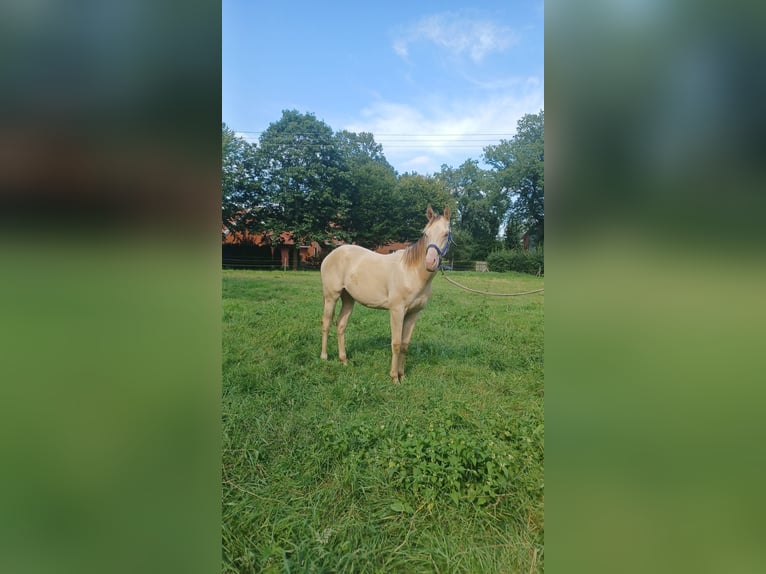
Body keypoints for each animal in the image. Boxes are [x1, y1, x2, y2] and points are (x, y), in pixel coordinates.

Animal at [320, 205, 452, 384]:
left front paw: (402, 375)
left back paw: (344, 360)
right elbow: (396, 343)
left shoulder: (414, 313)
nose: (430, 262)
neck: (411, 272)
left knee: (340, 325)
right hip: (331, 297)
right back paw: (324, 357)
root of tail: (330, 255)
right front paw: (394, 378)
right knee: (326, 323)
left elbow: (404, 344)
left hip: (348, 299)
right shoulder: (396, 311)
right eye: (426, 233)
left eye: (446, 233)